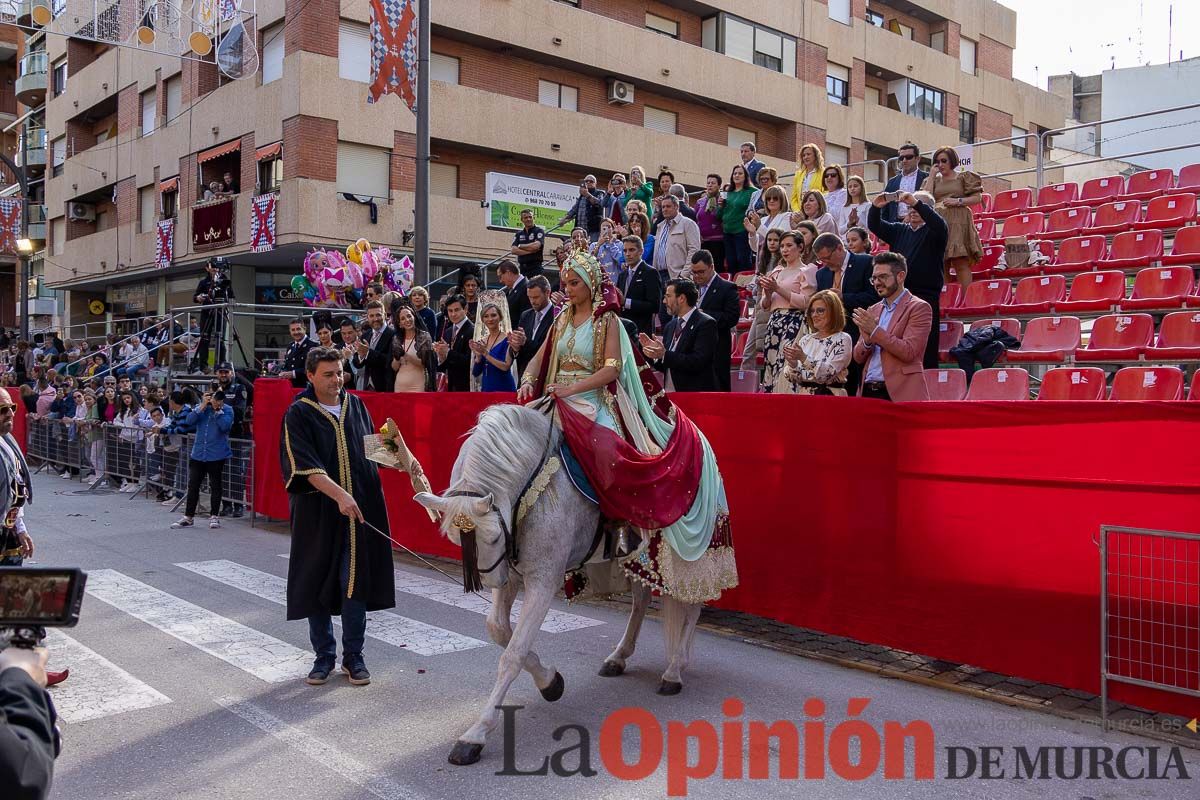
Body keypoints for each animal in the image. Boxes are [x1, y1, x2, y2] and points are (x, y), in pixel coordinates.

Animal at [417, 402, 705, 767]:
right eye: (456, 539)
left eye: (493, 537)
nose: (493, 581)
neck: (531, 485)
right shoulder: (513, 571)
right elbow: (500, 630)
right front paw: (550, 681)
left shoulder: (543, 578)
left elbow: (513, 653)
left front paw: (475, 734)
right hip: (634, 556)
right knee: (640, 600)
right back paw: (619, 656)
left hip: (688, 553)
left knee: (692, 606)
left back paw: (674, 670)